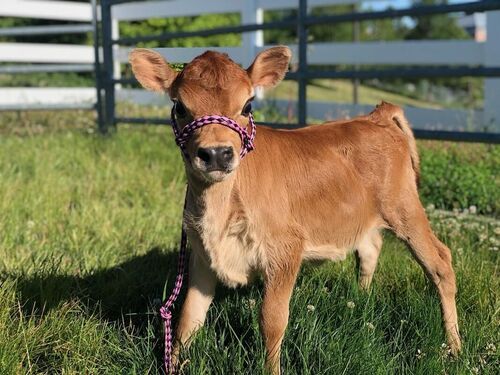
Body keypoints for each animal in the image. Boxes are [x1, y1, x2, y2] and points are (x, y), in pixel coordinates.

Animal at [129, 46, 460, 374]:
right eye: (179, 107)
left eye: (247, 105)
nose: (216, 154)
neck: (217, 212)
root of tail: (374, 116)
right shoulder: (202, 254)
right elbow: (188, 319)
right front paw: (174, 364)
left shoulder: (285, 249)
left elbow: (272, 321)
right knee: (370, 248)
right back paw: (361, 299)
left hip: (405, 208)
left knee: (440, 263)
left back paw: (454, 348)